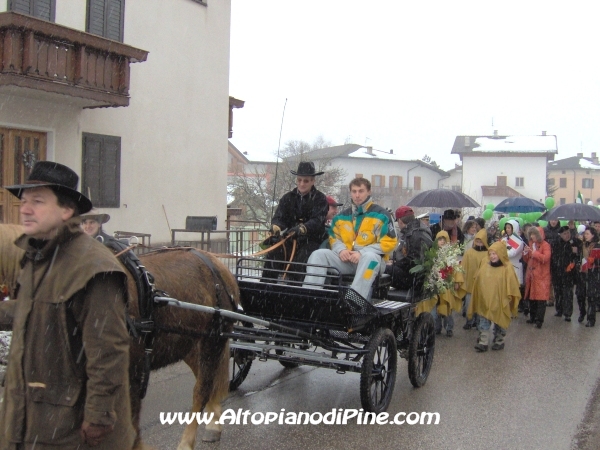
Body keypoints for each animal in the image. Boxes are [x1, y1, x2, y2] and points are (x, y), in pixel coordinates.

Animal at [0, 227, 239, 448]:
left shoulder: (131, 372)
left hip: (212, 342)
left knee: (202, 388)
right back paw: (214, 425)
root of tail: (216, 264)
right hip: (188, 344)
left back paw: (187, 441)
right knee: (205, 380)